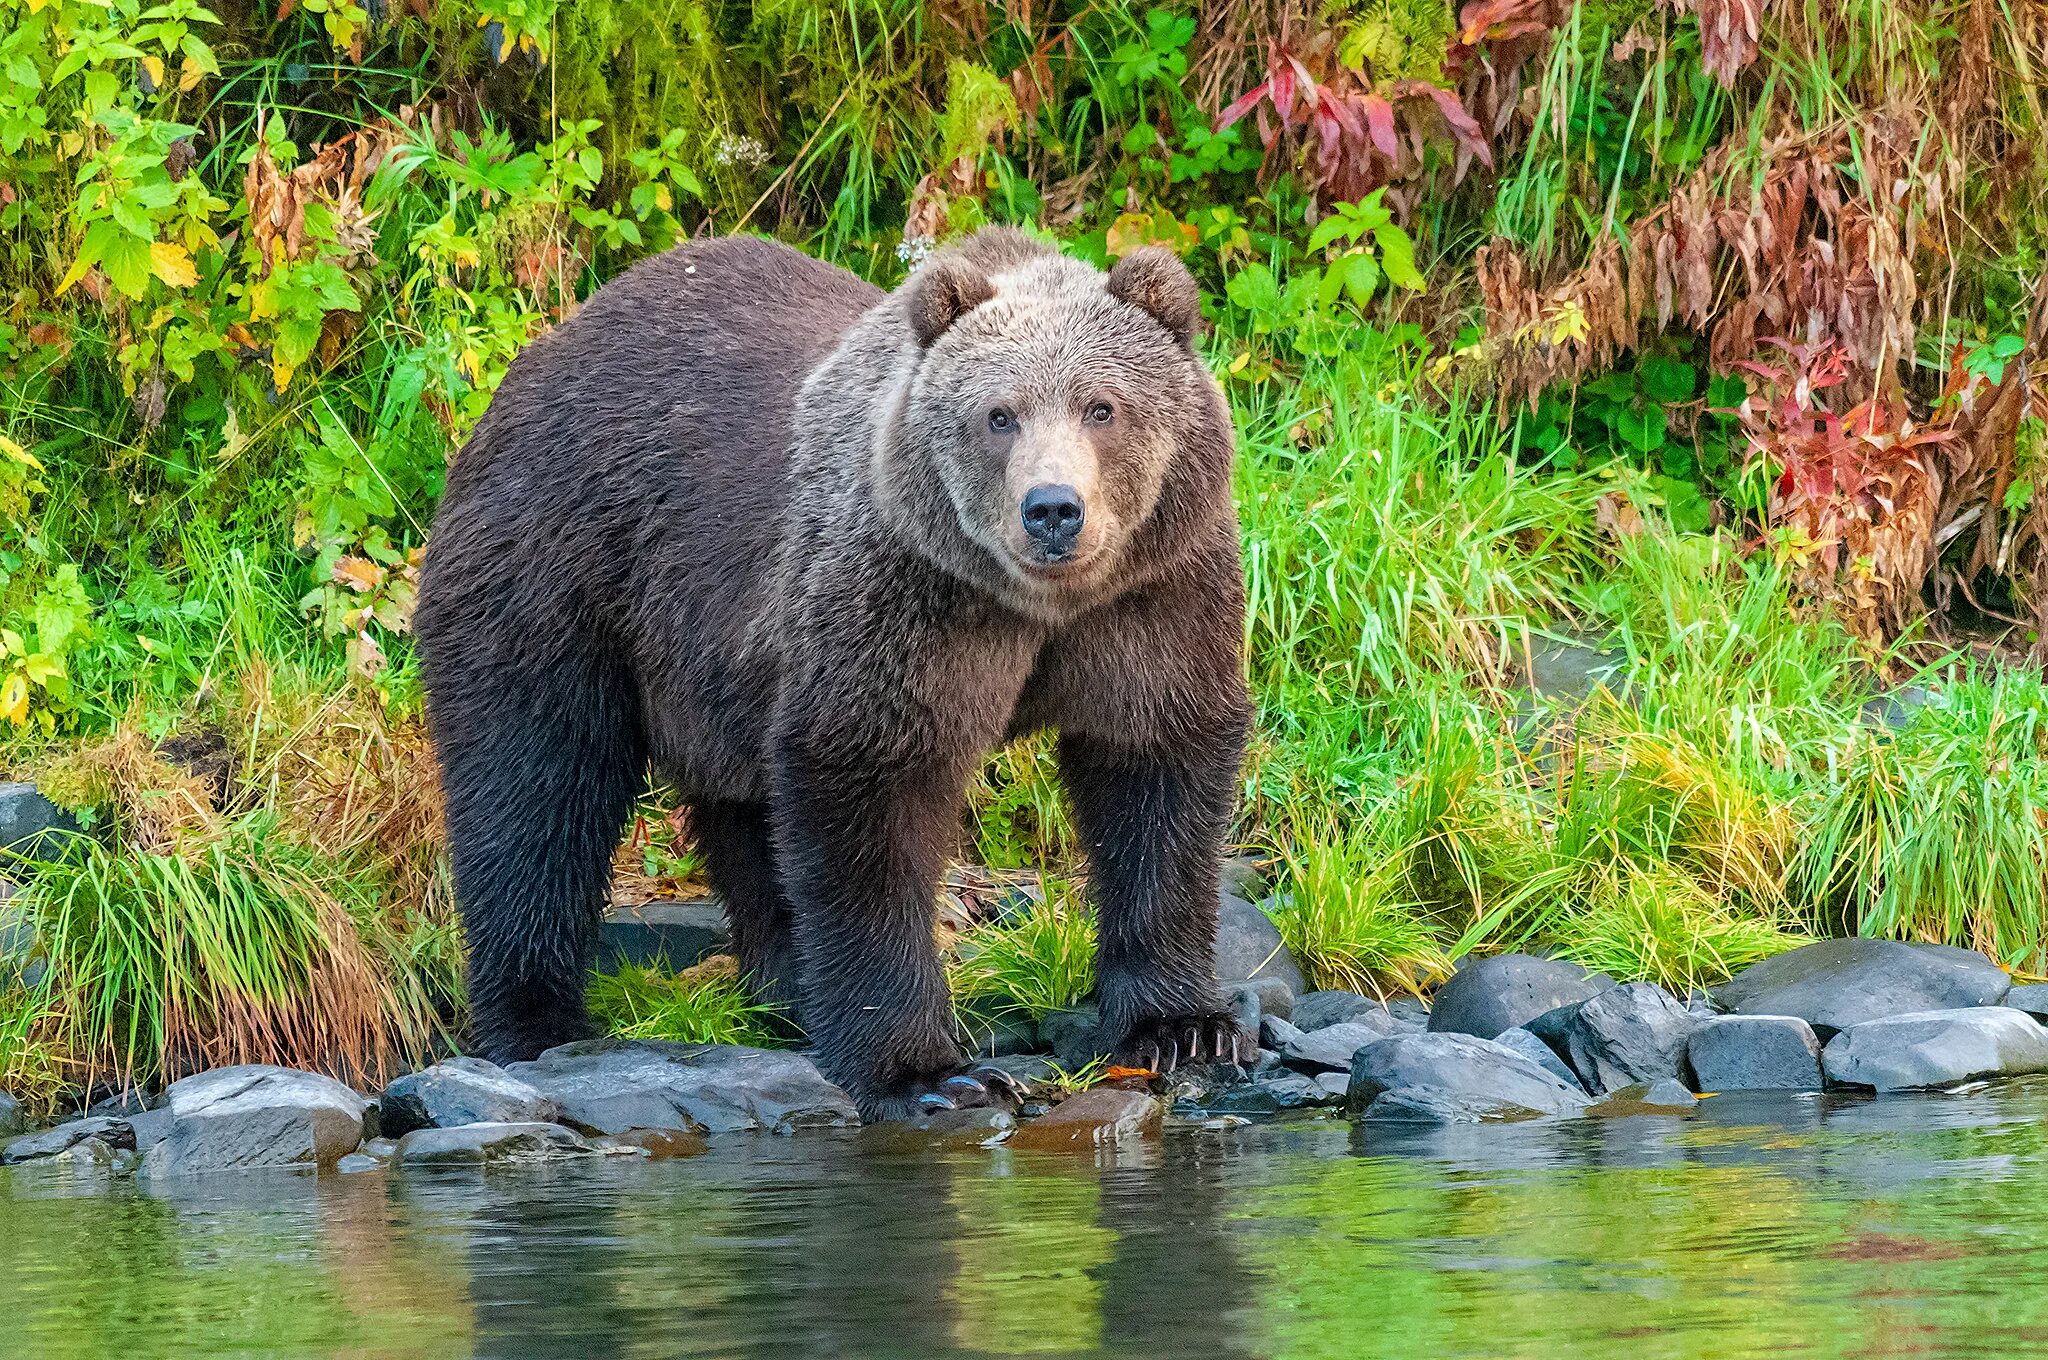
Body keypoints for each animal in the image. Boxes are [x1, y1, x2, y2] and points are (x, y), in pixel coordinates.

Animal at [413, 223, 1245, 1114]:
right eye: (998, 415)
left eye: (1102, 407)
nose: (1053, 509)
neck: (1035, 605)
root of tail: (535, 364)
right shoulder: (903, 592)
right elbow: (867, 787)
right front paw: (928, 1072)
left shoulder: (1153, 594)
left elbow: (1155, 770)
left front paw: (1182, 1026)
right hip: (556, 573)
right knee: (535, 787)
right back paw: (536, 1023)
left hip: (718, 664)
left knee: (744, 817)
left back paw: (785, 991)